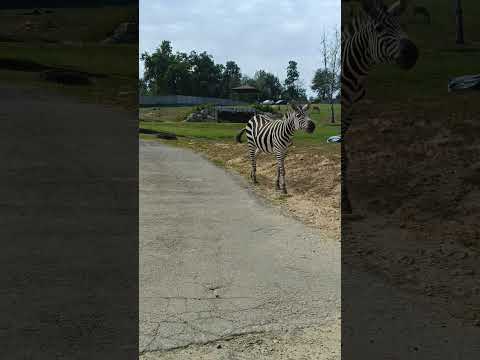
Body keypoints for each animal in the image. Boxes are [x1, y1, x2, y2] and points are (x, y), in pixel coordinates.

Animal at [342, 0, 416, 214]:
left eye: (401, 25)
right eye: (379, 28)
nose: (413, 54)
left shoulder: (350, 111)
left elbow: (344, 157)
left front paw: (346, 200)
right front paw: (344, 200)